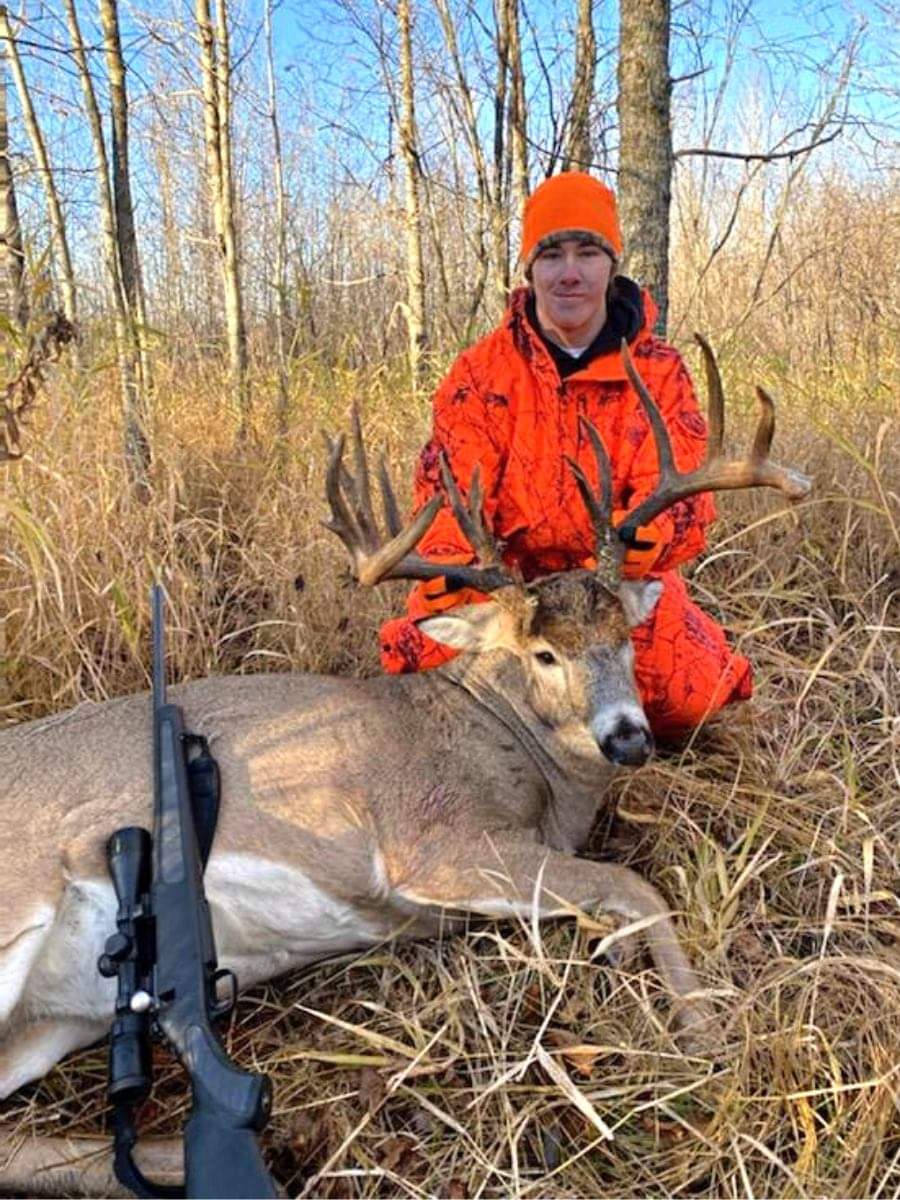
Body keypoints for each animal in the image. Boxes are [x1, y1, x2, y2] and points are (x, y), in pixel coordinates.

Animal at [0, 339, 810, 1195]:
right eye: (542, 653)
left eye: (623, 635)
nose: (627, 738)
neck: (504, 738)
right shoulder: (433, 842)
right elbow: (637, 885)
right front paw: (705, 1028)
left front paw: (630, 963)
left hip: (55, 1019)